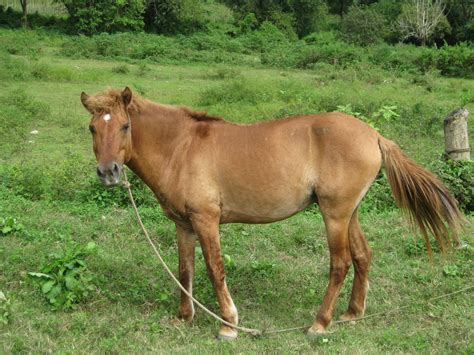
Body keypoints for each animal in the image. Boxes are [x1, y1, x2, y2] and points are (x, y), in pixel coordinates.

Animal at [80, 87, 462, 340]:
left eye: (125, 126)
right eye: (93, 128)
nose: (109, 172)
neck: (181, 147)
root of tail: (374, 135)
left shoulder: (206, 220)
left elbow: (214, 268)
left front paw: (228, 324)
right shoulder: (183, 225)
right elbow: (184, 270)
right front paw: (184, 317)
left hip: (334, 215)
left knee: (339, 264)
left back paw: (319, 323)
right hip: (349, 213)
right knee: (363, 256)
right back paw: (352, 313)